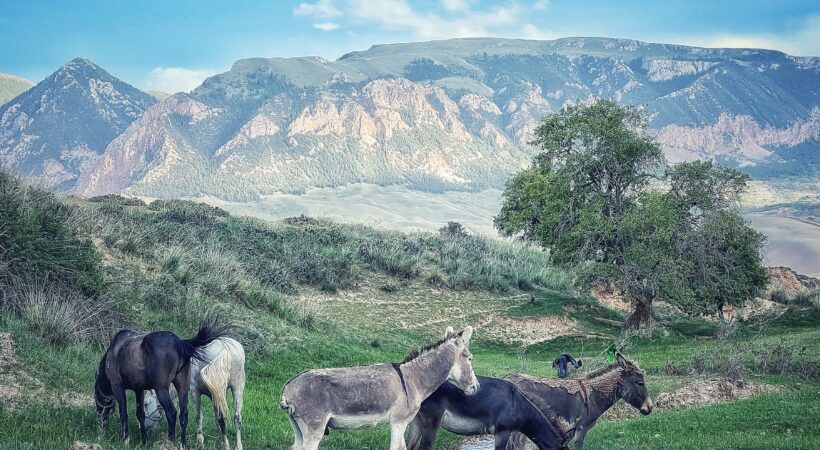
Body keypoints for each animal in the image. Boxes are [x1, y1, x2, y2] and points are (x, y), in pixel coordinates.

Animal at [282, 326, 480, 450]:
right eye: (470, 358)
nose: (476, 387)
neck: (413, 379)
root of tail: (288, 387)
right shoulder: (399, 422)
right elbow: (398, 447)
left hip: (297, 427)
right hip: (314, 428)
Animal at [404, 374, 572, 448]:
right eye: (563, 449)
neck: (520, 406)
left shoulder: (508, 434)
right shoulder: (502, 432)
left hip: (416, 424)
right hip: (431, 424)